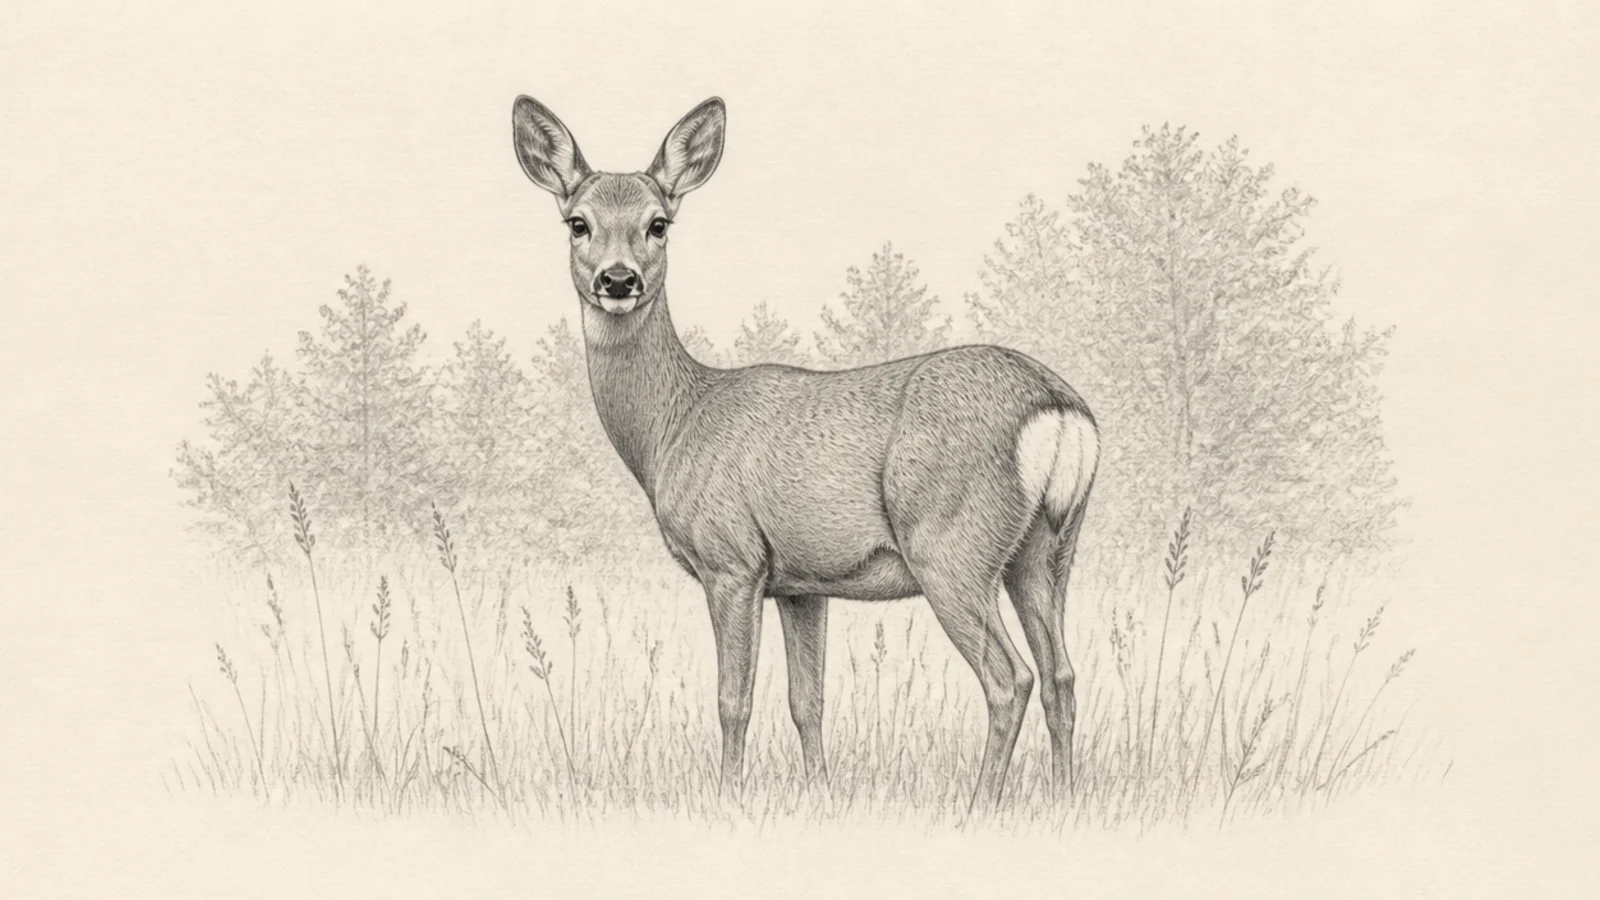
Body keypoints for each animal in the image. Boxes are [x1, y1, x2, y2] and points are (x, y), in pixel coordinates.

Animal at [511, 95, 1099, 814]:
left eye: (658, 224)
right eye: (578, 223)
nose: (618, 280)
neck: (675, 424)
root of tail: (1059, 410)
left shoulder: (731, 560)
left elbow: (733, 700)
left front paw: (728, 799)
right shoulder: (801, 582)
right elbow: (806, 701)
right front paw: (819, 794)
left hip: (951, 545)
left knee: (1009, 677)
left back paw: (978, 805)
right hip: (1046, 549)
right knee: (1061, 674)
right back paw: (1065, 797)